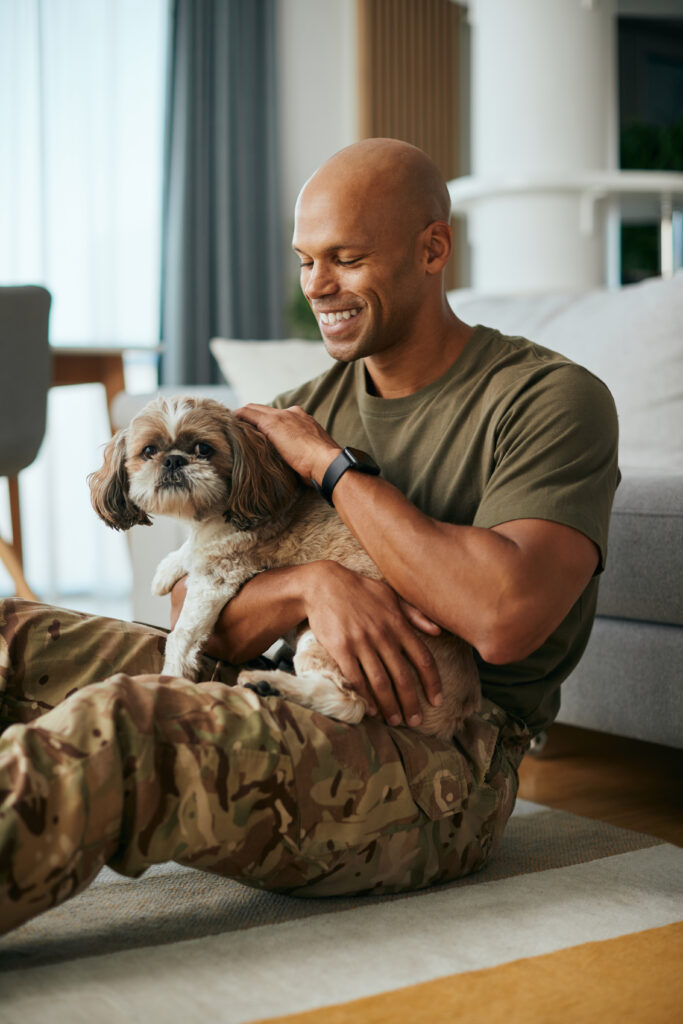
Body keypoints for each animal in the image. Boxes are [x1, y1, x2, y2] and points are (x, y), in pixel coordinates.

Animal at [90, 391, 481, 737]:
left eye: (203, 449)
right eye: (149, 451)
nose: (172, 460)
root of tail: (459, 710)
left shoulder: (217, 577)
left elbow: (182, 635)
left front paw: (170, 676)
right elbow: (189, 551)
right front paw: (167, 569)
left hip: (332, 637)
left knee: (349, 704)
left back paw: (269, 684)